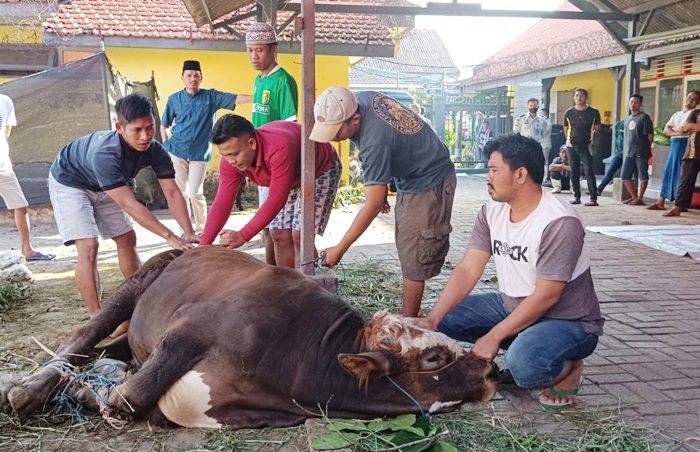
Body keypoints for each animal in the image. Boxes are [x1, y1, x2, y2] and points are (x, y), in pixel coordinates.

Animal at [2, 247, 500, 428]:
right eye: (434, 359)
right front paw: (73, 394)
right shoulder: (187, 331)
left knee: (108, 353)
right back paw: (25, 390)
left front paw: (81, 393)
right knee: (83, 335)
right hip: (139, 282)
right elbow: (125, 399)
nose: (492, 368)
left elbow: (124, 396)